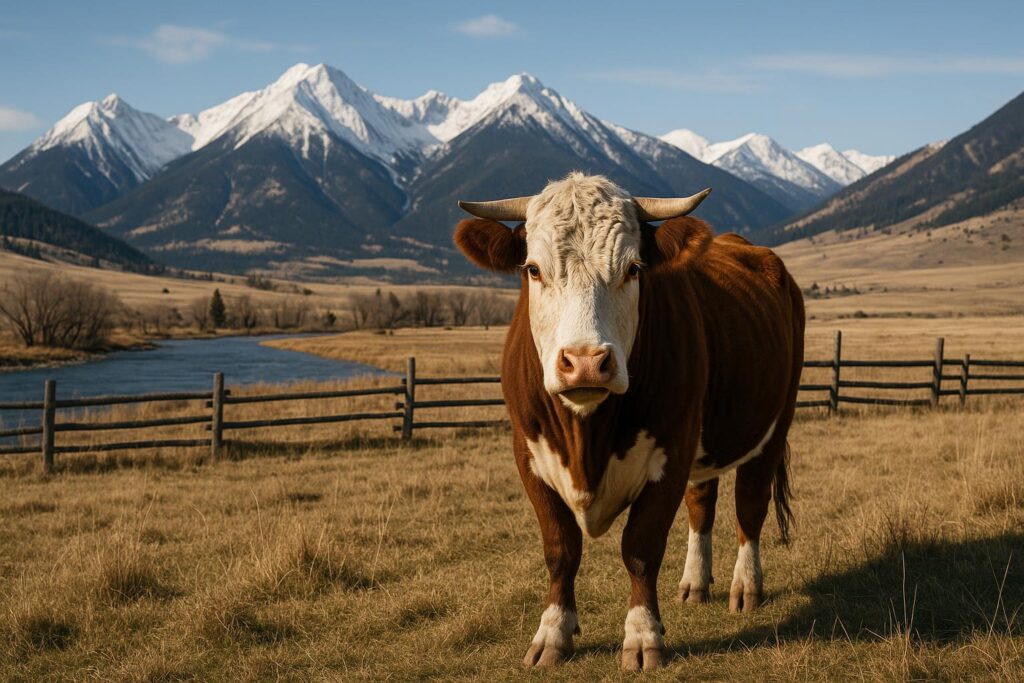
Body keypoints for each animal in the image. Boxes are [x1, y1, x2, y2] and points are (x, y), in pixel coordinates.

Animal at [453, 173, 804, 671]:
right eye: (533, 270)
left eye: (634, 269)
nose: (584, 362)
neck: (585, 434)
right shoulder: (528, 454)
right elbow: (561, 549)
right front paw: (552, 633)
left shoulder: (672, 450)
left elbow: (641, 547)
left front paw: (642, 637)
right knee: (702, 504)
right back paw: (695, 584)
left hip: (775, 423)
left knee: (749, 507)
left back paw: (746, 587)